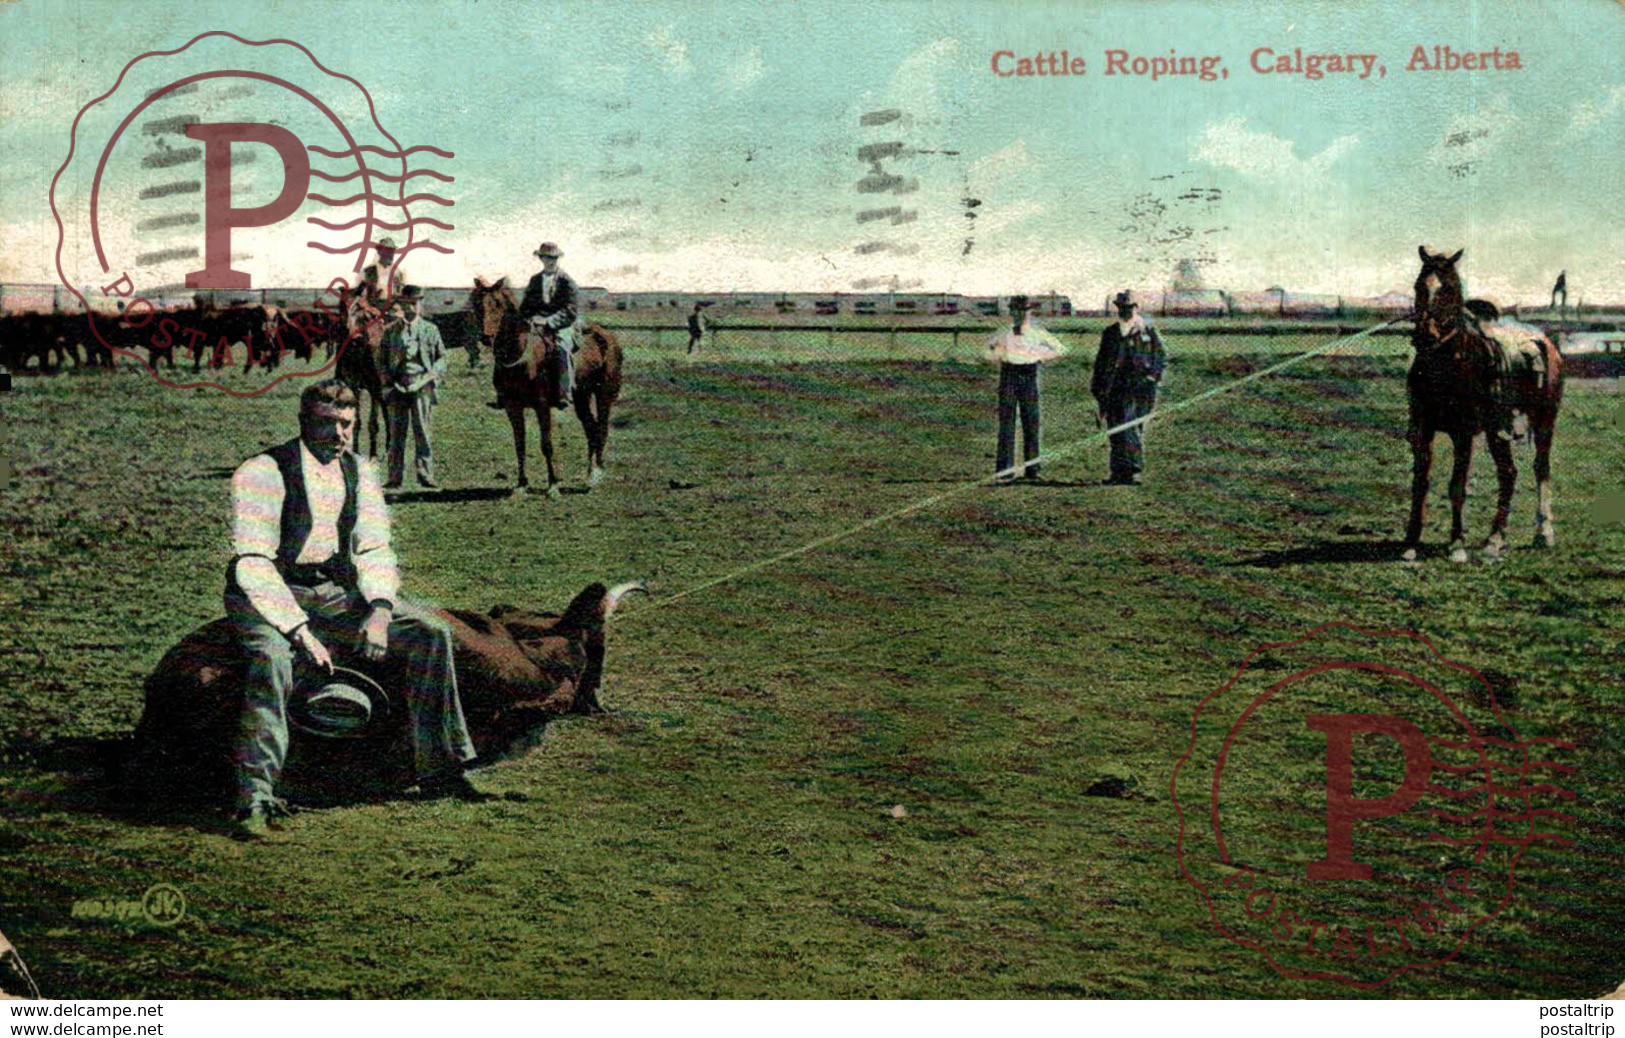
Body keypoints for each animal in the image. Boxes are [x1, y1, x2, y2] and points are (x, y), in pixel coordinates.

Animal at [471, 277, 627, 497]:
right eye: (477, 304)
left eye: (498, 304)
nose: (486, 337)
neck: (523, 356)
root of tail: (608, 338)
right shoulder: (512, 407)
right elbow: (520, 444)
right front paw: (521, 485)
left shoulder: (542, 405)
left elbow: (546, 444)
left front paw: (553, 486)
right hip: (581, 396)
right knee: (591, 428)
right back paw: (588, 475)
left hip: (603, 394)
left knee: (602, 428)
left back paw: (596, 475)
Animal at [1404, 245, 1566, 558]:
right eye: (1419, 286)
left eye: (1450, 288)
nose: (1425, 335)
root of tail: (1545, 341)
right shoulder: (1422, 429)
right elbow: (1420, 482)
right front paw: (1411, 542)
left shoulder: (1463, 433)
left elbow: (1457, 485)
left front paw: (1457, 544)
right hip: (1497, 430)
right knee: (1509, 474)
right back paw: (1494, 539)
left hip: (1544, 420)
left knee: (1540, 468)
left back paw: (1543, 533)